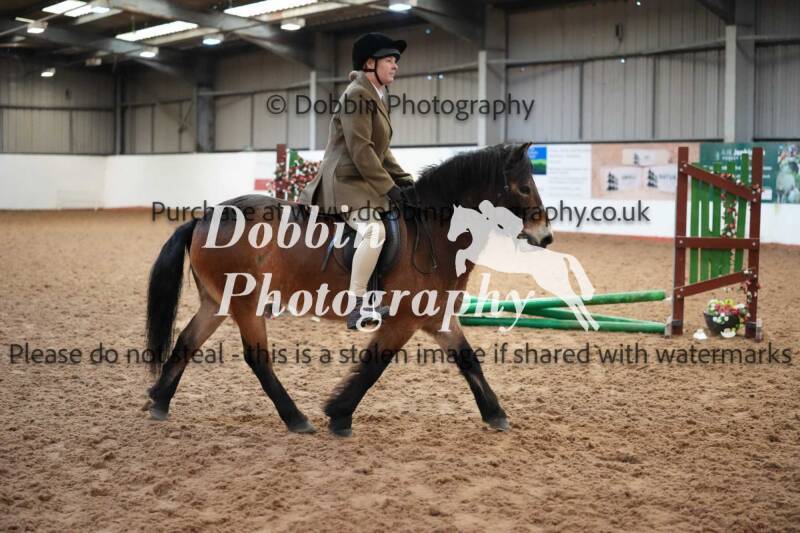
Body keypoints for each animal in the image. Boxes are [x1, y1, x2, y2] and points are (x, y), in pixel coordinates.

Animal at [143, 142, 553, 437]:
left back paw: (159, 401)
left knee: (187, 342)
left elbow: (468, 359)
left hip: (217, 302)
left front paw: (495, 413)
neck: (434, 233)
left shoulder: (436, 315)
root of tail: (204, 217)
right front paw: (339, 415)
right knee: (256, 358)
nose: (545, 237)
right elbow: (375, 365)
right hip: (245, 303)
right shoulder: (404, 319)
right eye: (523, 187)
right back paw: (296, 419)